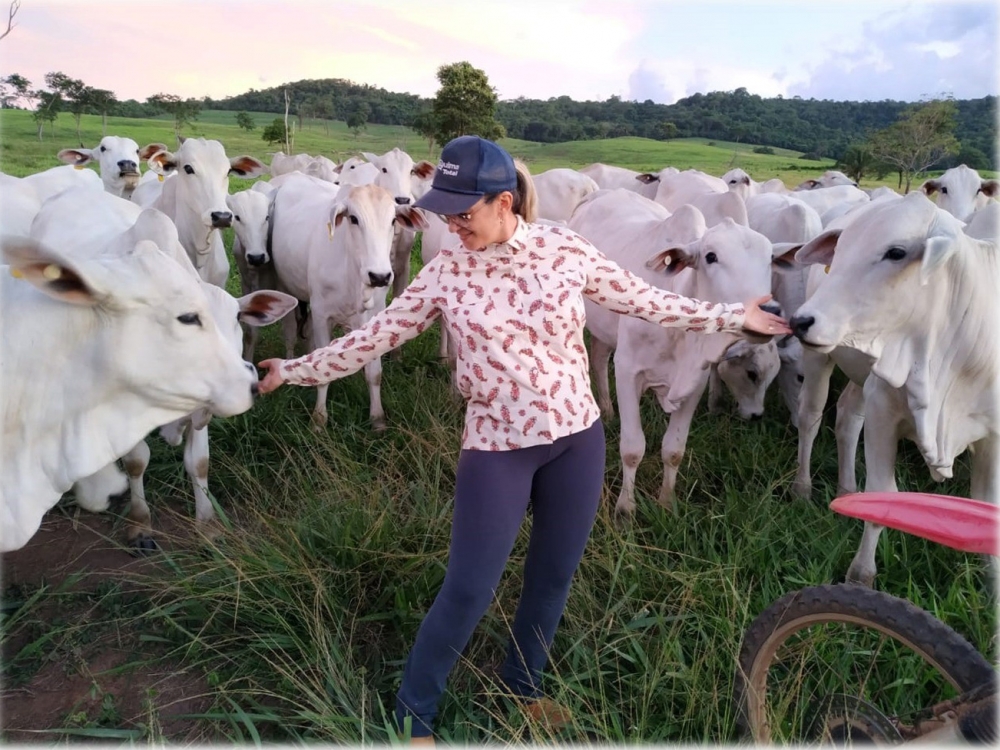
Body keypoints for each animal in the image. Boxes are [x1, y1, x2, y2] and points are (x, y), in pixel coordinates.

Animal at [268, 176, 424, 432]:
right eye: (353, 218)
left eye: (393, 220)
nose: (380, 276)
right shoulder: (322, 314)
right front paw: (319, 419)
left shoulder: (372, 316)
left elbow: (374, 372)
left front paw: (377, 418)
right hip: (284, 287)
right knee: (290, 332)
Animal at [568, 191, 784, 516]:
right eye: (710, 256)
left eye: (770, 258)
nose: (768, 311)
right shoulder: (628, 371)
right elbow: (633, 448)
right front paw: (625, 508)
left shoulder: (696, 382)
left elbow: (674, 449)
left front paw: (667, 503)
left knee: (598, 355)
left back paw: (606, 409)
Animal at [792, 191, 996, 584]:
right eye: (840, 250)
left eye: (897, 252)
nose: (801, 321)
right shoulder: (883, 410)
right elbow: (883, 495)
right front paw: (860, 576)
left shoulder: (993, 438)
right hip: (820, 361)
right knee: (810, 417)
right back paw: (803, 487)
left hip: (863, 378)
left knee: (846, 419)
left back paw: (847, 490)